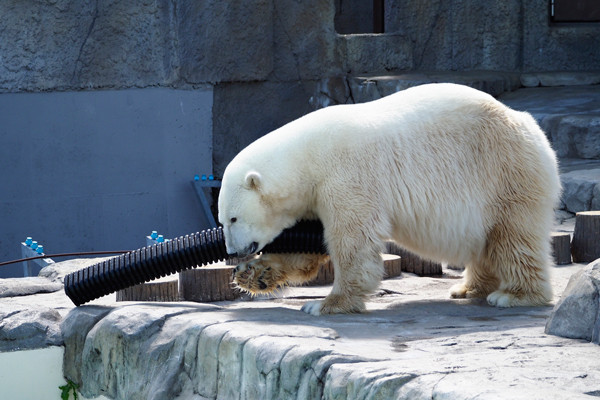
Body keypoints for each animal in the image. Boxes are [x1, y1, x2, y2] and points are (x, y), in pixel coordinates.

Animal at [218, 83, 560, 316]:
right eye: (222, 220)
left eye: (233, 218)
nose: (233, 252)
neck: (307, 157)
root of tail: (531, 126)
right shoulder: (314, 196)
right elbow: (305, 244)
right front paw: (253, 274)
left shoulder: (346, 176)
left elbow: (351, 240)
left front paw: (327, 304)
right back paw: (467, 287)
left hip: (503, 174)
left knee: (513, 237)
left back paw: (514, 295)